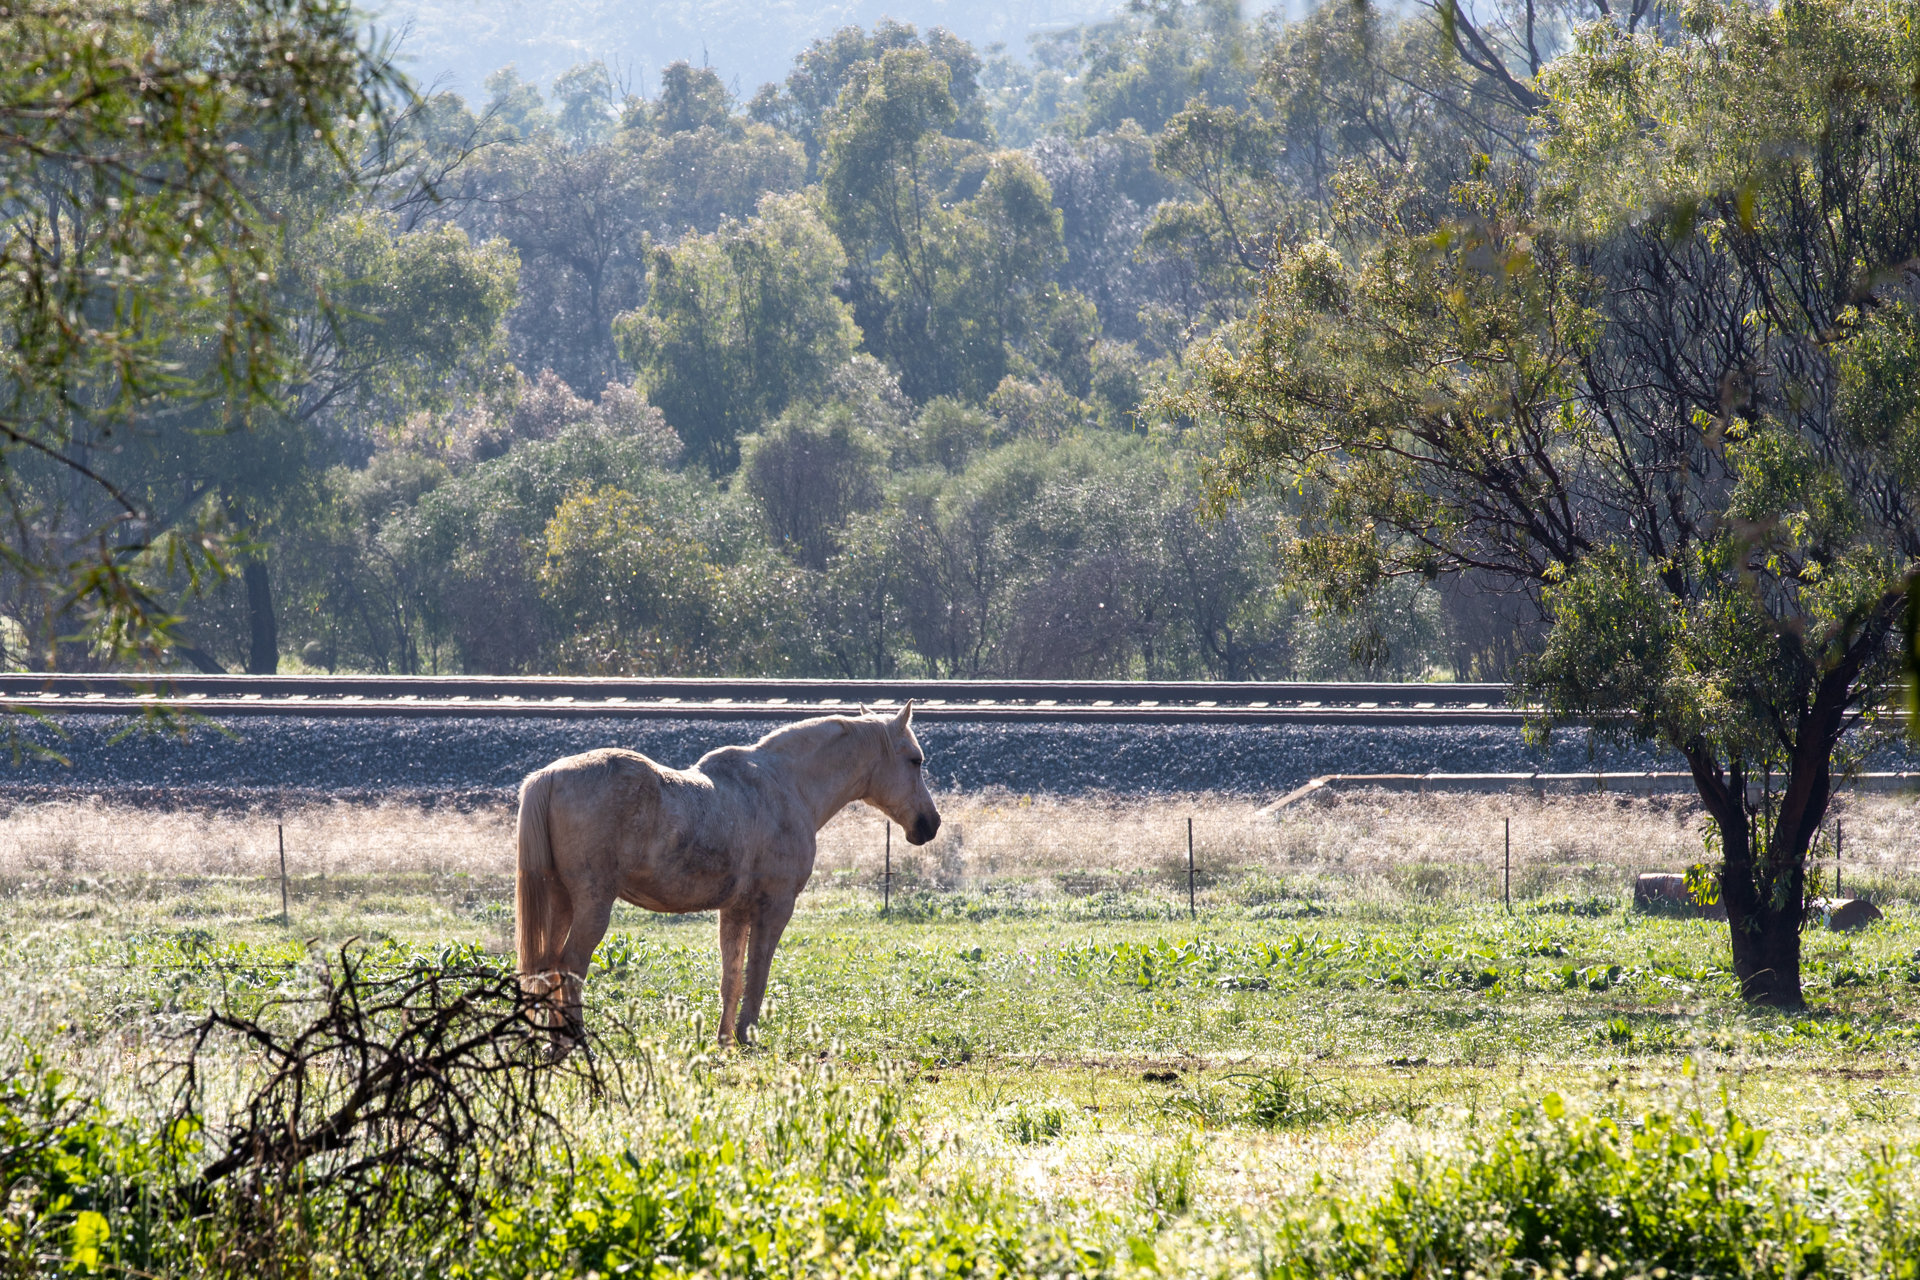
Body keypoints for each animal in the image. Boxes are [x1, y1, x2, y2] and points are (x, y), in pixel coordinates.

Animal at [514, 706, 940, 1043]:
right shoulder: (775, 907)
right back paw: (573, 1041)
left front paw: (724, 1040)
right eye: (915, 760)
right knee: (570, 965)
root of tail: (550, 776)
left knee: (548, 966)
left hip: (560, 902)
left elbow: (731, 977)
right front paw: (747, 1036)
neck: (786, 786)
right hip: (592, 904)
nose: (931, 823)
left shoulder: (734, 911)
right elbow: (757, 974)